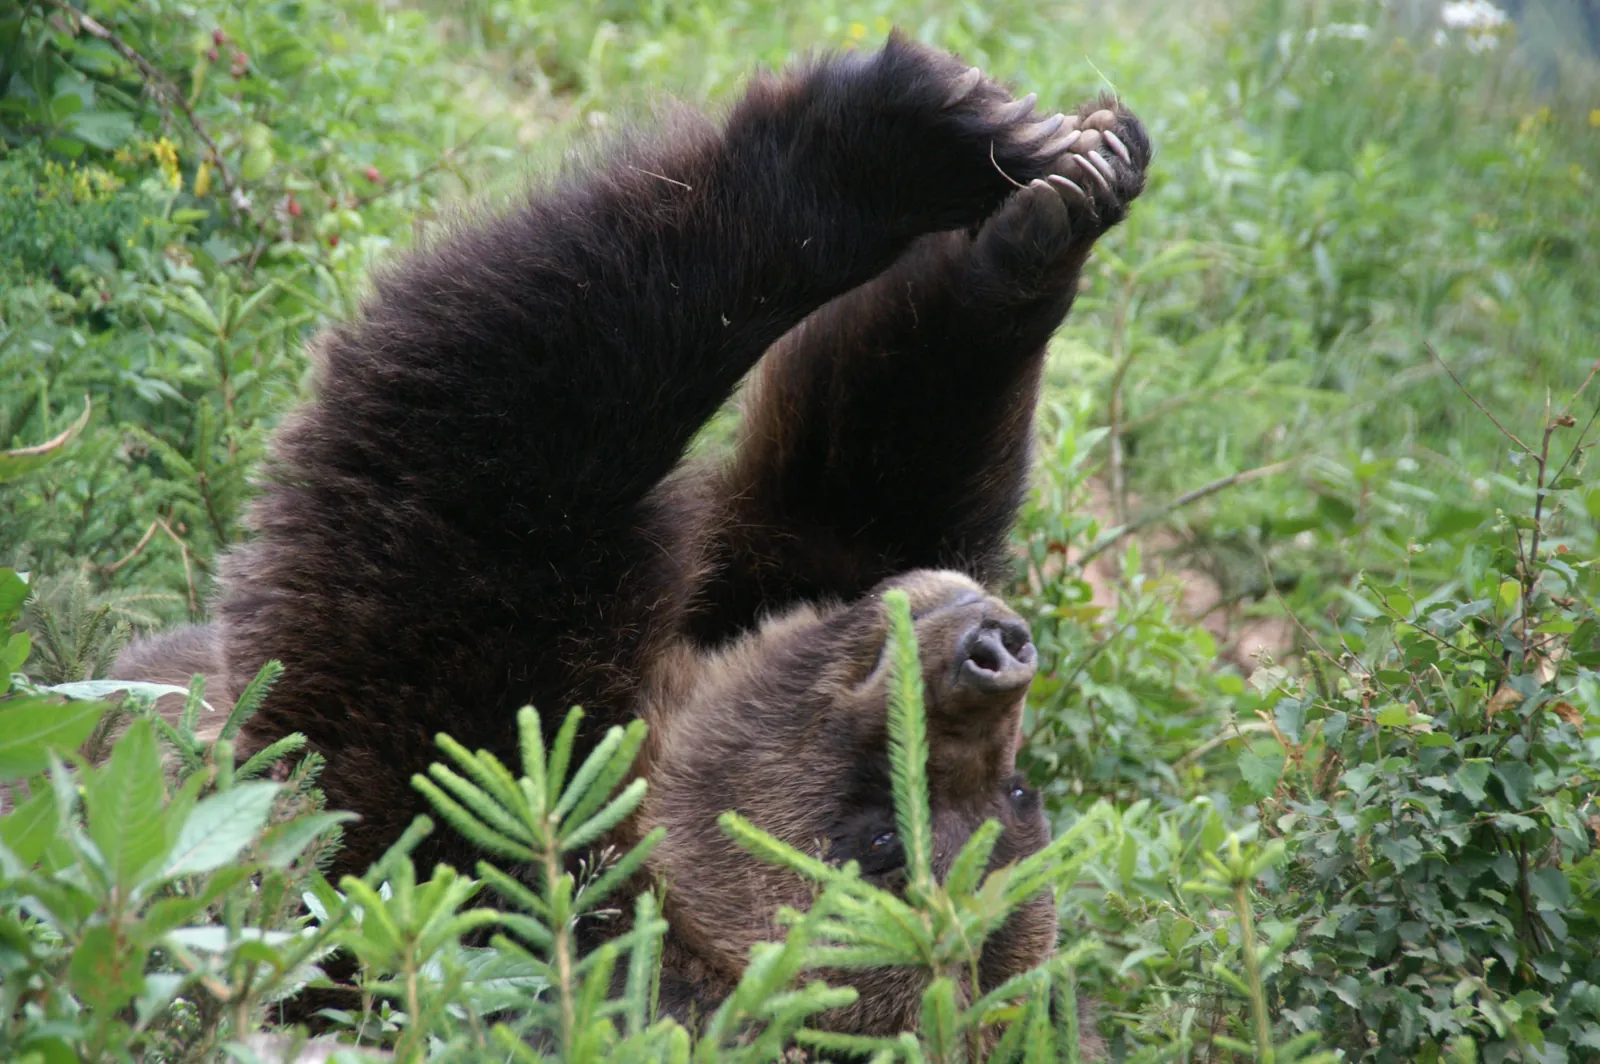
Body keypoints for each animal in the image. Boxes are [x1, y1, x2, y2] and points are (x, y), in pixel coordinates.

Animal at [113, 32, 1149, 1046]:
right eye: (1026, 796)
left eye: (881, 843)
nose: (994, 649)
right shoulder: (777, 573)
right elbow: (864, 475)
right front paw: (1048, 185)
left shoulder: (448, 783)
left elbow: (485, 432)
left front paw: (888, 141)